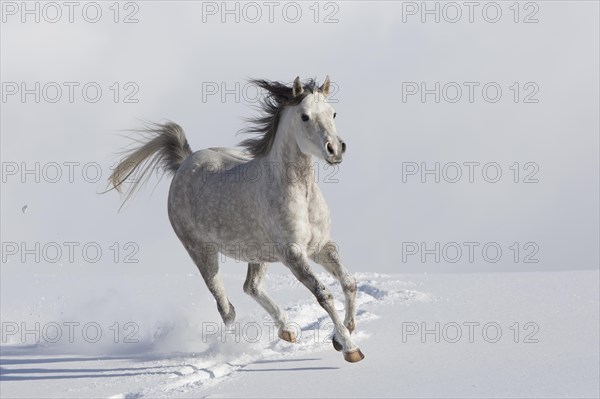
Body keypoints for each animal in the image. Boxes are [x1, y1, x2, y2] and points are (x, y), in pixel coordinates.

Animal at [111, 75, 366, 362]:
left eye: (333, 113)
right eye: (305, 116)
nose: (335, 150)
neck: (300, 192)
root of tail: (184, 163)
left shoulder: (321, 246)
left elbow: (349, 282)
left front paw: (342, 334)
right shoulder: (293, 254)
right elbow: (324, 295)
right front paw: (350, 348)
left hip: (258, 252)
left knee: (251, 286)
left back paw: (287, 330)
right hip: (203, 253)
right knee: (226, 307)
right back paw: (236, 347)